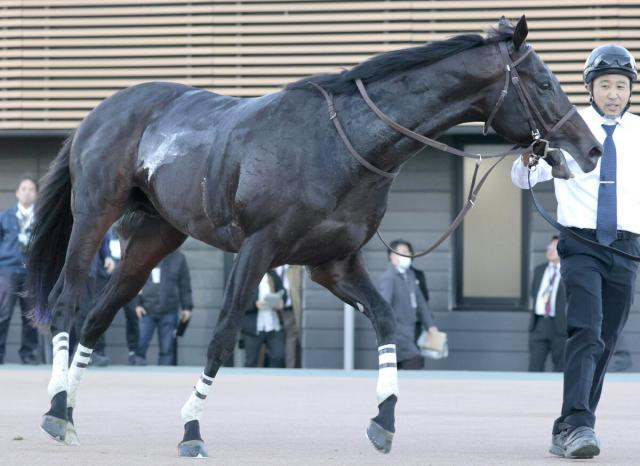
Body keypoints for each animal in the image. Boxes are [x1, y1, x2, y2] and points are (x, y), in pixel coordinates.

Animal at [28, 16, 600, 456]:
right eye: (545, 84)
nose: (591, 148)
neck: (341, 142)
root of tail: (100, 111)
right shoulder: (258, 249)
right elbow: (223, 334)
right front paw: (191, 427)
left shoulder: (335, 262)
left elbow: (388, 320)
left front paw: (384, 421)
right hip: (94, 214)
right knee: (67, 301)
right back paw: (54, 405)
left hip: (153, 236)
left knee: (100, 314)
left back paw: (67, 412)